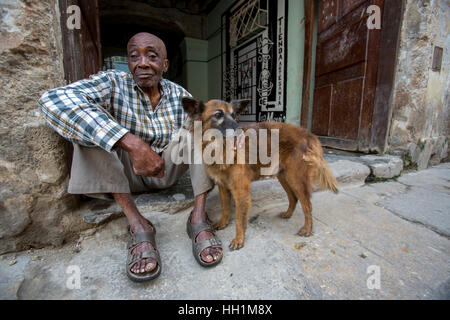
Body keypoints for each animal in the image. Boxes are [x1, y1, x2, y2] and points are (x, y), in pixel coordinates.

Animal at [182, 97, 338, 250]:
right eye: (218, 115)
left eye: (234, 115)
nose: (240, 130)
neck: (221, 148)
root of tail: (310, 135)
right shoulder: (223, 187)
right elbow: (225, 208)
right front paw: (223, 223)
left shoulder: (241, 191)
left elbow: (239, 219)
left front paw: (239, 239)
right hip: (284, 177)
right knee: (294, 198)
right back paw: (288, 214)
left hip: (296, 179)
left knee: (307, 205)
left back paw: (307, 229)